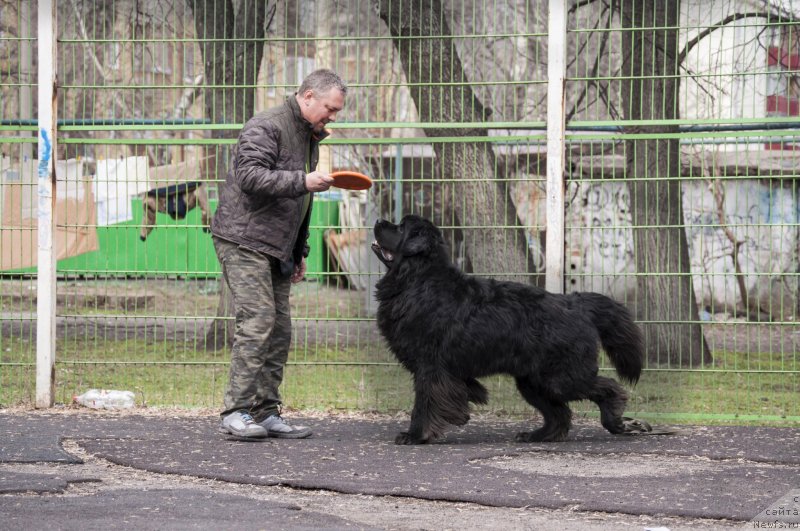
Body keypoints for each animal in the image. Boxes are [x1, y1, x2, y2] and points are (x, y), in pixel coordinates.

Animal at [370, 215, 644, 444]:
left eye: (401, 227)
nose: (379, 220)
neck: (417, 279)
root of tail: (574, 302)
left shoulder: (429, 366)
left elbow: (424, 403)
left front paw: (416, 435)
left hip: (560, 377)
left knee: (607, 388)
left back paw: (616, 421)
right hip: (533, 381)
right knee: (559, 413)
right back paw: (537, 435)